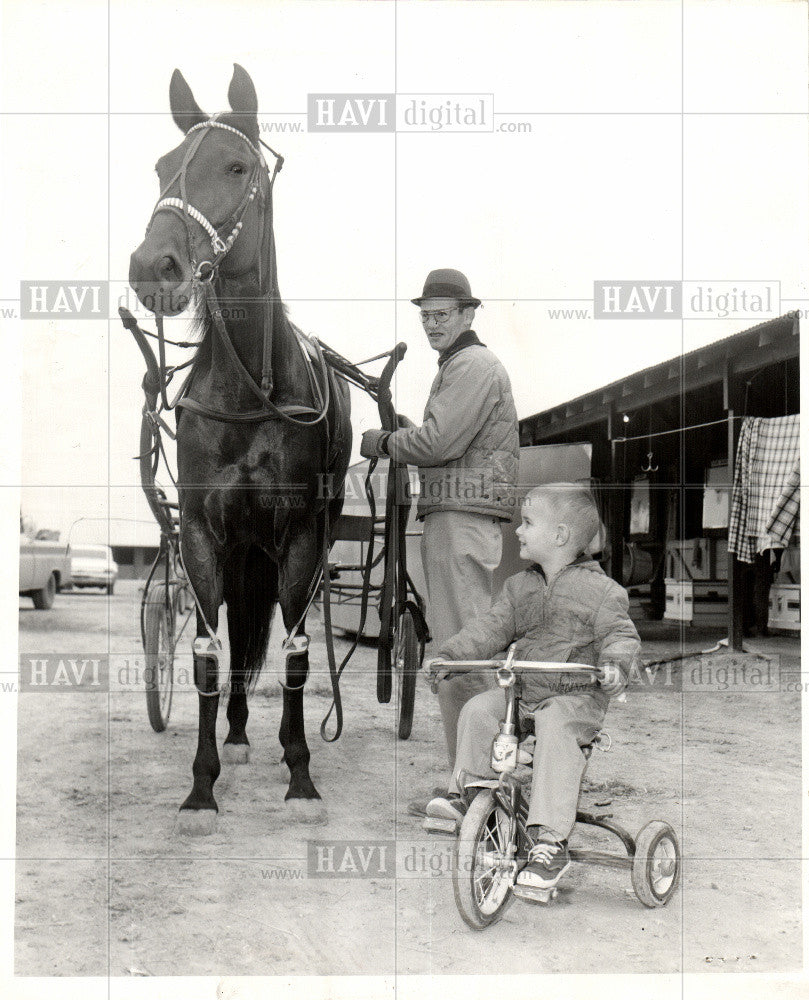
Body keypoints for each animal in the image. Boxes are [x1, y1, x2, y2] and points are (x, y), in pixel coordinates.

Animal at [129, 58, 350, 832]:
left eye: (236, 166)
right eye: (162, 165)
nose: (153, 265)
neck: (251, 391)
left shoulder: (299, 536)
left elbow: (296, 653)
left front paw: (302, 775)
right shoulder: (201, 533)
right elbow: (204, 653)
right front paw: (202, 785)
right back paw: (235, 732)